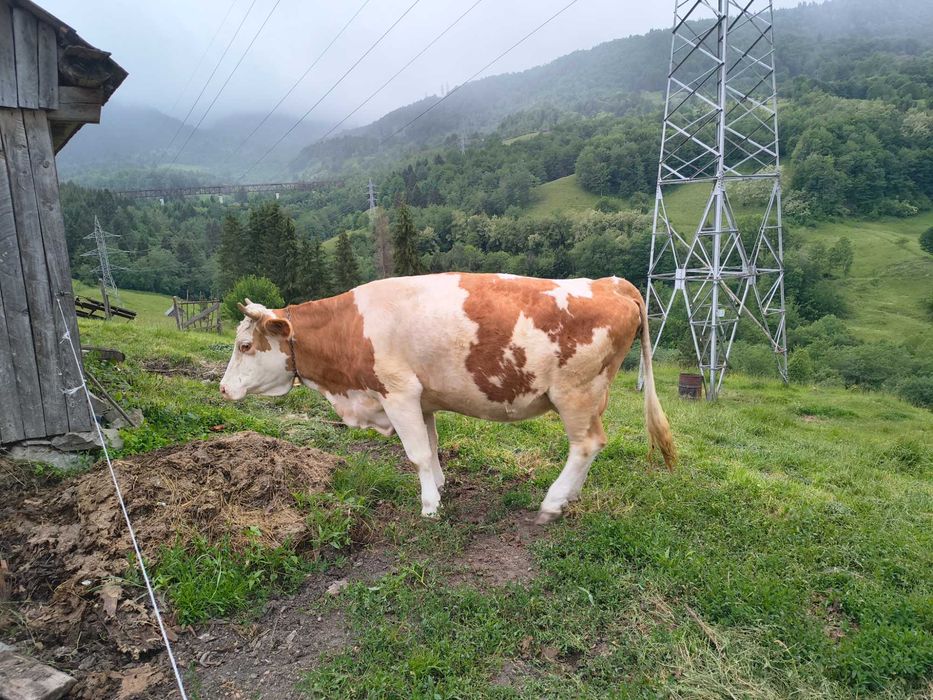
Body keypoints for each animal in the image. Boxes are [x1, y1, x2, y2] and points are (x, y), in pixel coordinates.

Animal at [220, 273, 675, 523]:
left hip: (576, 392)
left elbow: (417, 454)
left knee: (586, 444)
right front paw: (439, 486)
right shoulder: (423, 399)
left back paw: (552, 502)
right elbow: (434, 446)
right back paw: (571, 496)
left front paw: (429, 506)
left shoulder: (398, 392)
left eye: (244, 345)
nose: (223, 389)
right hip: (590, 395)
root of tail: (611, 283)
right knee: (592, 446)